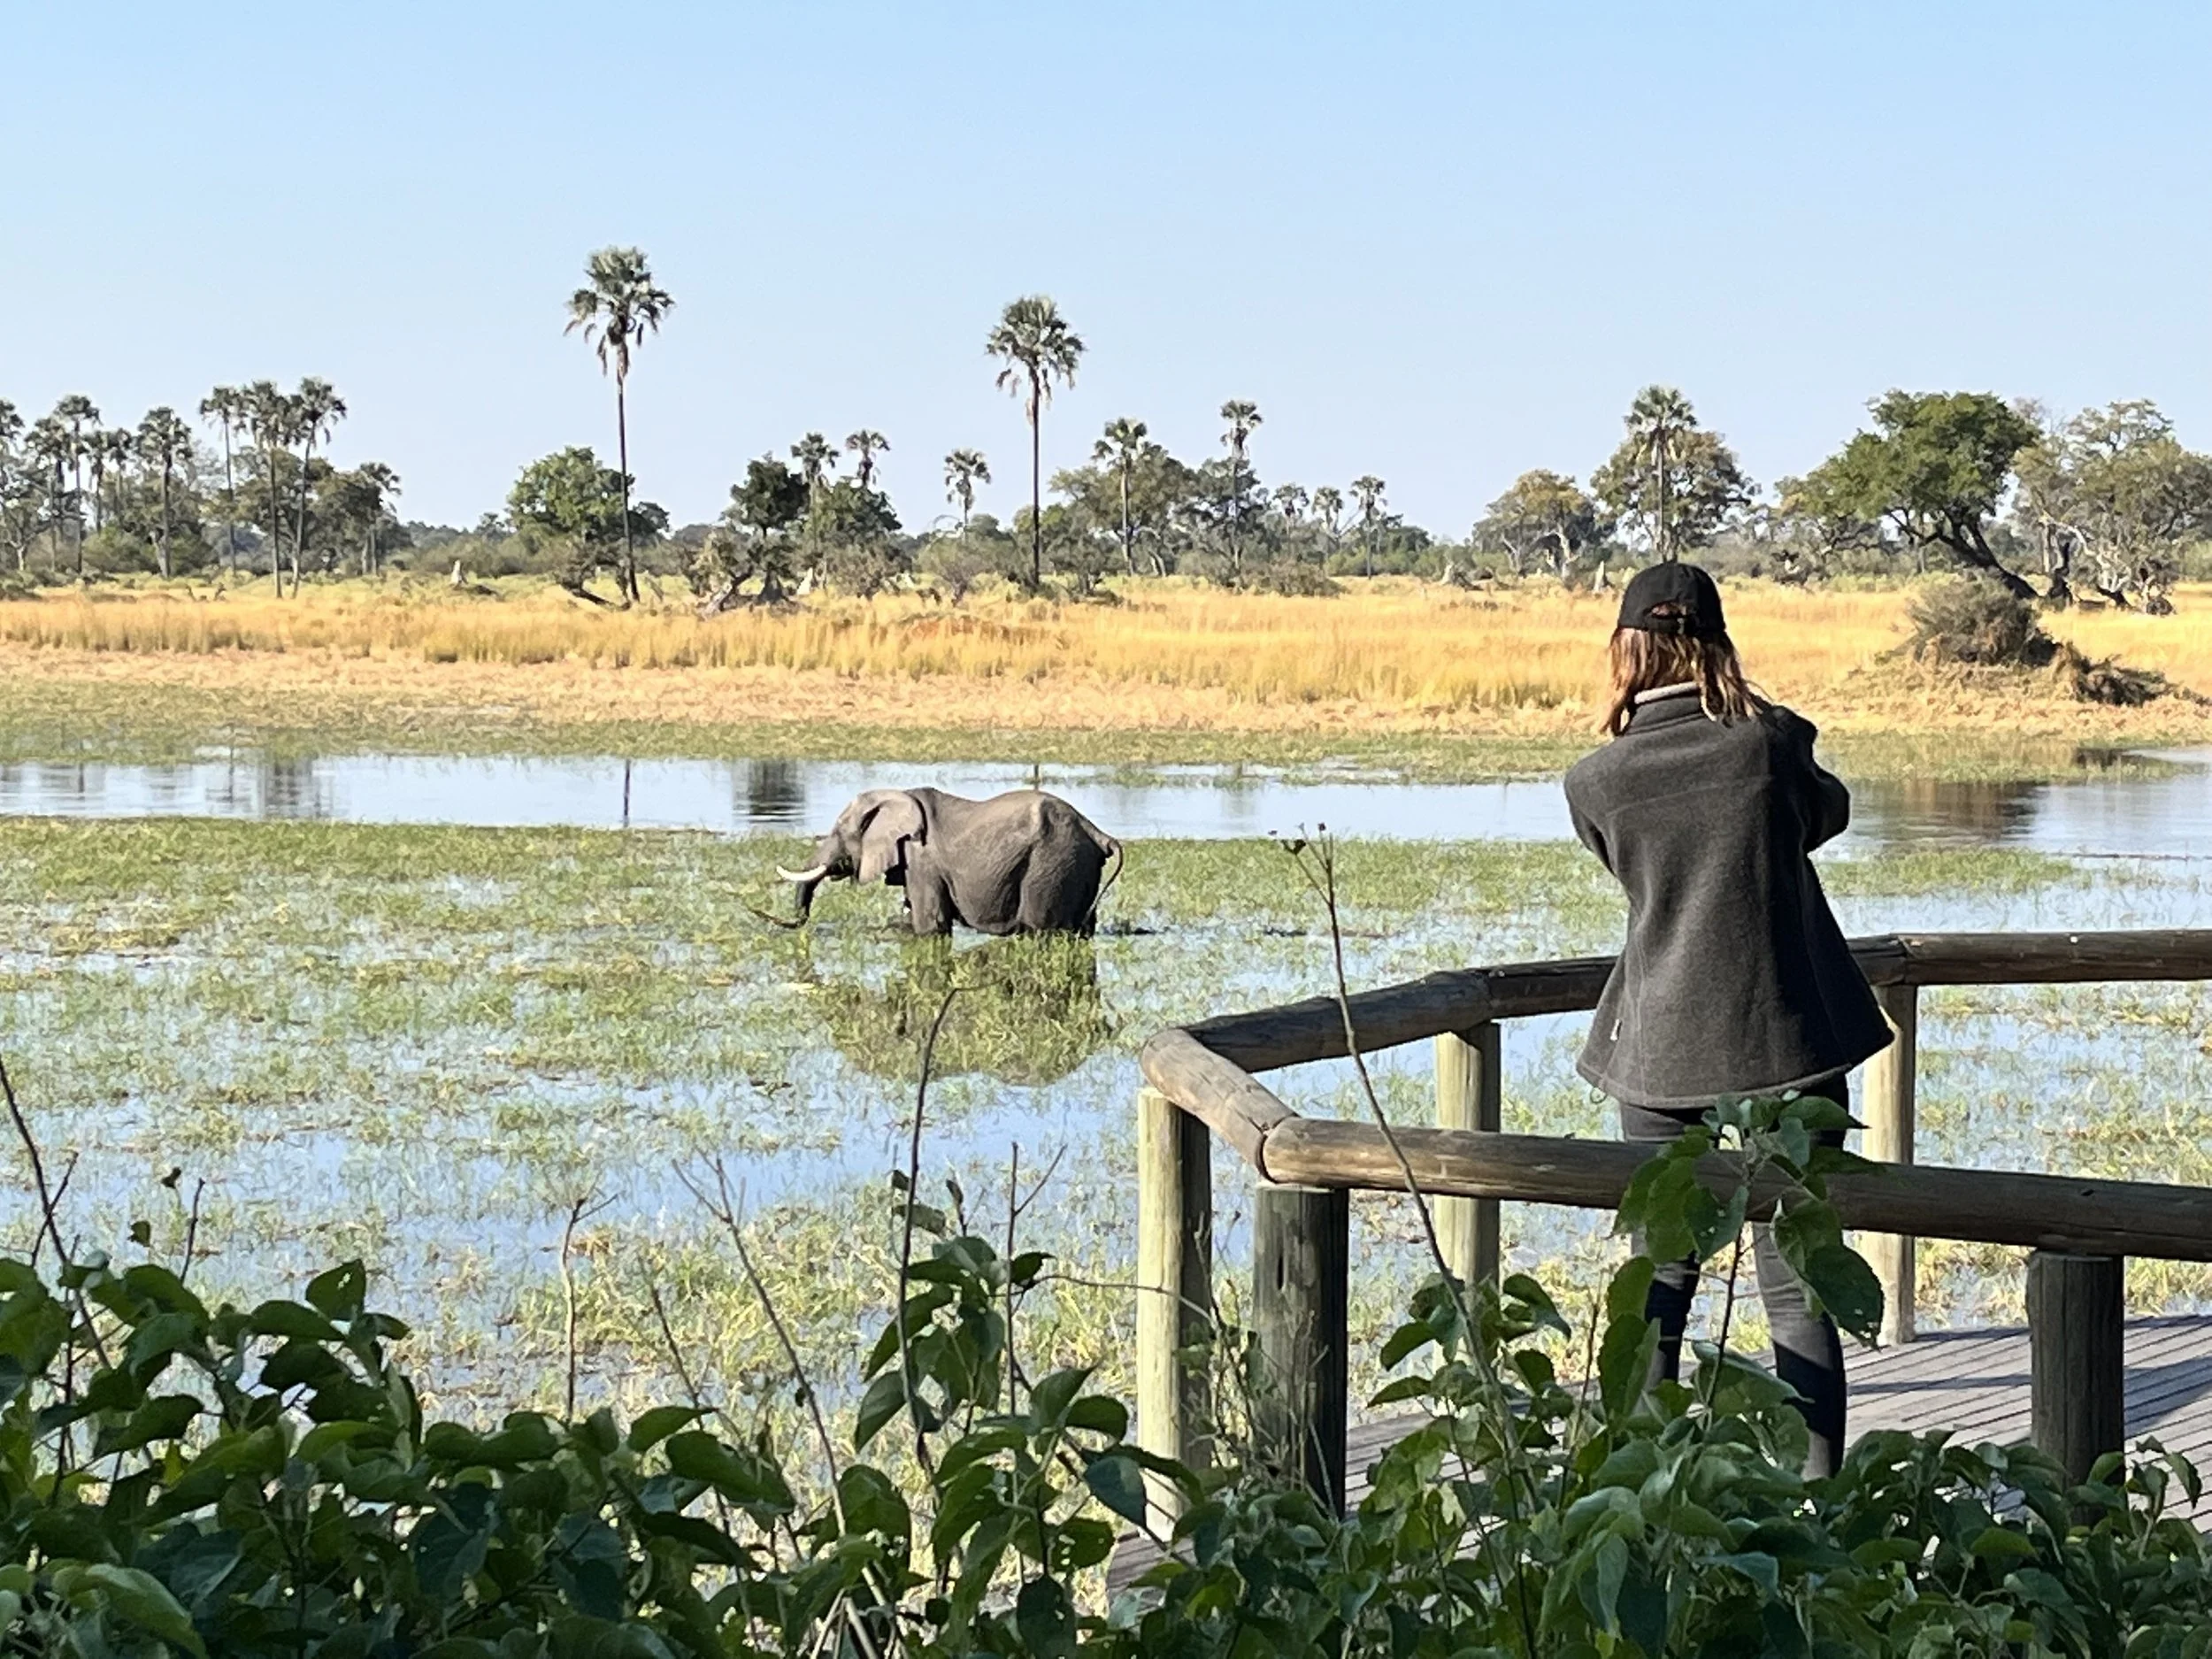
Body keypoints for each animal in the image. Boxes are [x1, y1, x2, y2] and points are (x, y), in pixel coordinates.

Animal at [777, 787, 1121, 936]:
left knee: (1040, 927)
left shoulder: (920, 858)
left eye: (838, 831)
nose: (789, 924)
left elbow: (931, 925)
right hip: (1077, 867)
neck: (896, 797)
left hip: (1051, 864)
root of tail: (1096, 832)